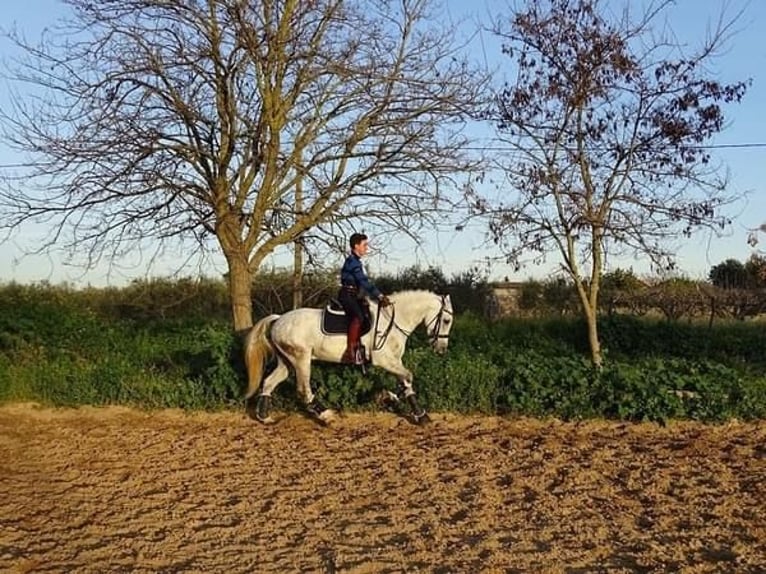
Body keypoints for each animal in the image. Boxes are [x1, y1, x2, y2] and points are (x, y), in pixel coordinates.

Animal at [243, 290, 452, 426]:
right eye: (447, 320)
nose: (442, 350)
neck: (392, 320)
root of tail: (279, 319)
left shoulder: (394, 361)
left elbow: (405, 381)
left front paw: (401, 404)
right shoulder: (384, 360)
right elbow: (408, 376)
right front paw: (409, 408)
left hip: (286, 362)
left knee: (269, 383)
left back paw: (264, 417)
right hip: (301, 359)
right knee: (303, 389)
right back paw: (326, 416)